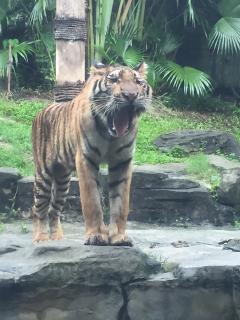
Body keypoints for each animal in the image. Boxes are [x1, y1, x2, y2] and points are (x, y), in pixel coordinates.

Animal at [31, 62, 152, 245]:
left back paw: (57, 238)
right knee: (40, 208)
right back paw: (41, 239)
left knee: (54, 210)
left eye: (138, 82)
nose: (130, 95)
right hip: (43, 174)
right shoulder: (86, 159)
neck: (110, 135)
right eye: (114, 80)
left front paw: (118, 237)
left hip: (62, 181)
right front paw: (96, 235)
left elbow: (121, 204)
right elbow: (92, 202)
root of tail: (41, 111)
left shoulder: (122, 162)